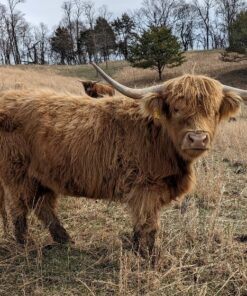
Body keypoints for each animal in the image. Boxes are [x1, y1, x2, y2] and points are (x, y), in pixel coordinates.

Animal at [0, 63, 246, 256]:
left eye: (214, 111)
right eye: (176, 108)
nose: (198, 138)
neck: (160, 136)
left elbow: (144, 225)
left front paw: (138, 250)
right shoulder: (146, 188)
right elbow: (148, 224)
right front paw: (148, 255)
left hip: (41, 176)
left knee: (42, 205)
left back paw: (65, 239)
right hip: (17, 174)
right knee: (20, 208)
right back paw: (26, 245)